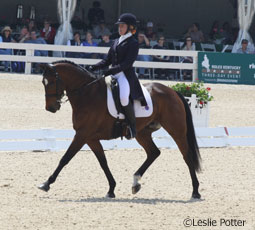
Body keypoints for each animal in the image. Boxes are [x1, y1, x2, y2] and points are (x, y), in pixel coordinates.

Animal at [37, 60, 201, 199]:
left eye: (52, 82)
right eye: (43, 82)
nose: (51, 108)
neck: (88, 94)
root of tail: (173, 91)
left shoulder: (82, 135)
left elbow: (65, 158)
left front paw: (46, 184)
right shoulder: (90, 138)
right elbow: (103, 162)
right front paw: (111, 189)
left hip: (177, 130)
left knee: (187, 156)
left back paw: (195, 191)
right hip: (142, 133)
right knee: (154, 153)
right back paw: (135, 183)